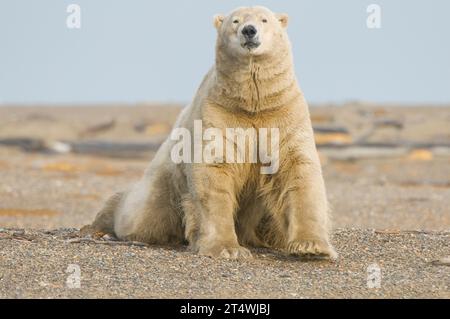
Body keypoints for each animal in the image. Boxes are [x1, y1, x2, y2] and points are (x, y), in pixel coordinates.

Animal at [81, 6, 336, 262]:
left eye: (264, 20)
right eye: (236, 21)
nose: (249, 30)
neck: (253, 103)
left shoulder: (284, 113)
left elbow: (298, 168)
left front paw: (311, 247)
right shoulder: (218, 112)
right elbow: (213, 171)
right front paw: (228, 248)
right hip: (163, 184)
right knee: (140, 216)